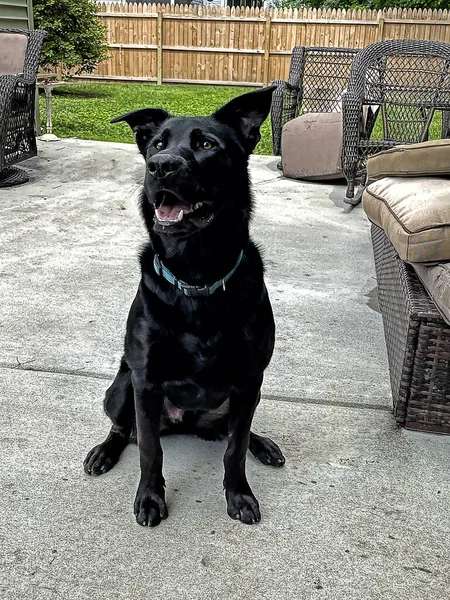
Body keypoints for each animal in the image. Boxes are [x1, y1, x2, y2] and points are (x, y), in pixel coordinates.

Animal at [84, 84, 284, 524]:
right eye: (157, 144)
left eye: (207, 145)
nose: (160, 167)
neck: (197, 279)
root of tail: (185, 423)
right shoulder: (145, 381)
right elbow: (149, 450)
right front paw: (150, 498)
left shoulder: (249, 380)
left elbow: (235, 448)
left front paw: (239, 494)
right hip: (121, 387)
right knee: (125, 429)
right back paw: (104, 451)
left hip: (248, 396)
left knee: (235, 430)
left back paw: (263, 443)